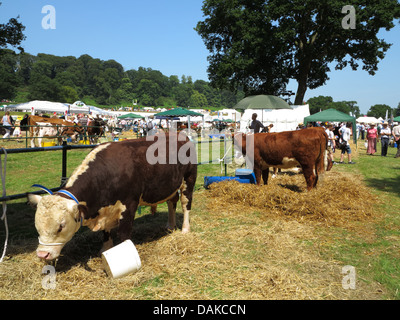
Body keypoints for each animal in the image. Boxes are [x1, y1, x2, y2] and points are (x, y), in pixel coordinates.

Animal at [27, 134, 198, 262]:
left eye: (61, 226)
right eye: (36, 225)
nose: (42, 254)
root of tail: (181, 135)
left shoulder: (129, 205)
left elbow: (124, 233)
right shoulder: (106, 209)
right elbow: (106, 232)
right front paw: (106, 248)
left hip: (188, 180)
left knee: (185, 204)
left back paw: (185, 229)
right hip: (171, 185)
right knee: (171, 202)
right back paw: (170, 225)